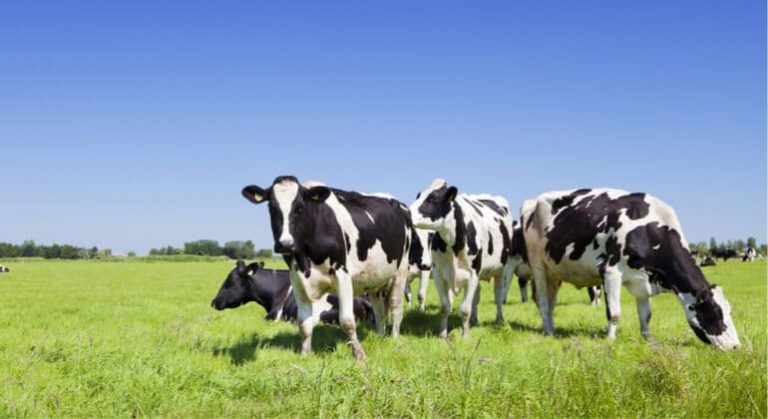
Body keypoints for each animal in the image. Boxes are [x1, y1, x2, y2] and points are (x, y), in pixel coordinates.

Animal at [241, 176, 413, 362]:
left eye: (299, 207)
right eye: (271, 208)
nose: (285, 244)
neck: (306, 260)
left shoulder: (342, 275)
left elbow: (347, 321)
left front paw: (359, 355)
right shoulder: (297, 279)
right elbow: (304, 323)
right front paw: (304, 355)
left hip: (401, 270)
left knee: (396, 306)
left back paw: (394, 339)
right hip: (375, 278)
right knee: (379, 309)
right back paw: (380, 336)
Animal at [409, 178, 516, 338]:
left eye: (433, 198)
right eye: (418, 196)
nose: (406, 212)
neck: (454, 244)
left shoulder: (472, 274)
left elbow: (465, 309)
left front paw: (465, 336)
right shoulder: (439, 273)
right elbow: (445, 306)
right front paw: (443, 335)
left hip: (501, 269)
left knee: (498, 296)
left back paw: (499, 320)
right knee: (476, 297)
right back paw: (474, 320)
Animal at [520, 188, 740, 350]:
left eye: (729, 311)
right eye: (715, 312)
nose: (736, 347)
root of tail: (532, 201)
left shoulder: (643, 280)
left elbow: (646, 315)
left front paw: (649, 340)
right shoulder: (610, 271)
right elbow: (614, 313)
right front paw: (610, 341)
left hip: (555, 272)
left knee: (551, 302)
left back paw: (552, 328)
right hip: (537, 264)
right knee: (542, 300)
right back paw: (548, 331)